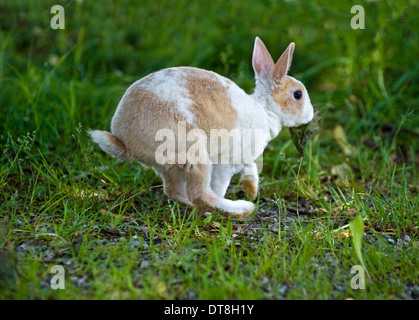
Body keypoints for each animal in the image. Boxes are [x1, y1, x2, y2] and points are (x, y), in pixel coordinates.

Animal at [92, 36, 316, 219]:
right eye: (298, 94)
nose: (311, 114)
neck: (264, 109)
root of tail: (125, 140)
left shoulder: (245, 159)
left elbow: (251, 168)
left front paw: (252, 189)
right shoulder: (226, 163)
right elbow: (220, 186)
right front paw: (246, 197)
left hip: (169, 166)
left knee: (173, 191)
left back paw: (193, 207)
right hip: (193, 153)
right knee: (201, 194)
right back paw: (240, 209)